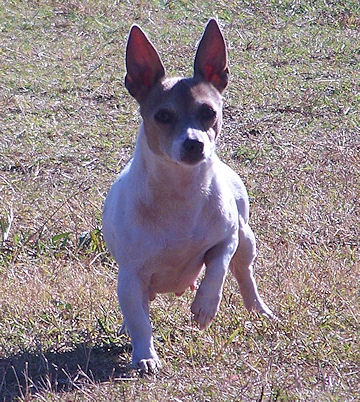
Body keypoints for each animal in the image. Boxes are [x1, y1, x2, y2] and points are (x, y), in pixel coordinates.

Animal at [102, 17, 276, 372]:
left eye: (209, 112)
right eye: (163, 116)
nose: (195, 143)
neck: (180, 193)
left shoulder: (226, 240)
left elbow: (217, 269)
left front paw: (205, 307)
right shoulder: (130, 276)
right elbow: (140, 320)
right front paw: (145, 355)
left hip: (246, 239)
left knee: (244, 274)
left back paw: (259, 310)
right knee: (139, 309)